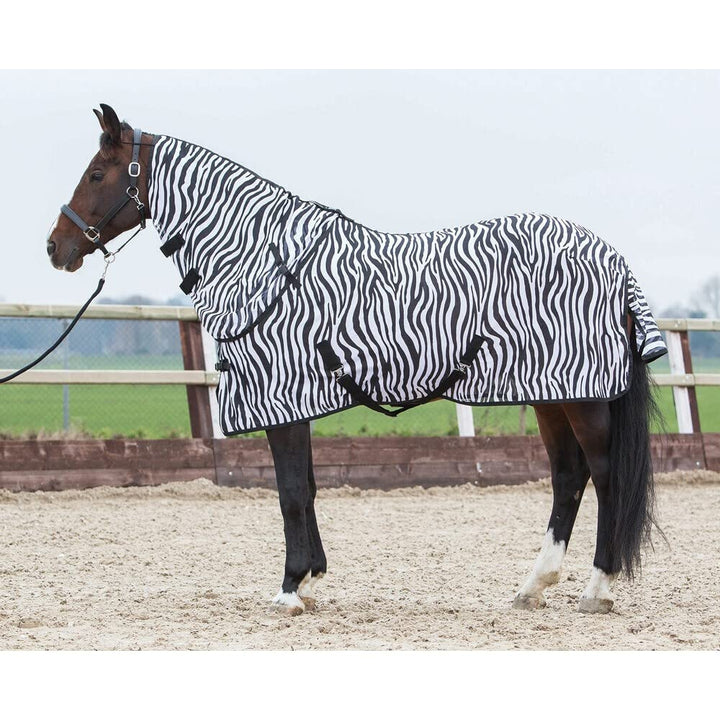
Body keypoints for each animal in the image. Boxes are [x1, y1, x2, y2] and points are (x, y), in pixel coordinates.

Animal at [46, 104, 664, 616]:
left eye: (97, 174)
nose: (56, 247)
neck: (262, 259)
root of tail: (612, 258)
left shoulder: (281, 400)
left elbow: (291, 493)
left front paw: (289, 589)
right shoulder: (293, 404)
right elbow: (308, 487)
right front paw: (311, 579)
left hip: (583, 398)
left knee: (604, 476)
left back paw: (597, 590)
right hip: (550, 395)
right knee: (568, 477)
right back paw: (534, 586)